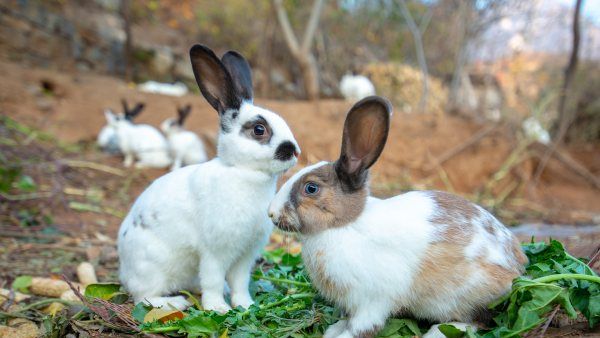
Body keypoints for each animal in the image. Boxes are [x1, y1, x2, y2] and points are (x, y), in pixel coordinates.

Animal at [118, 44, 300, 312]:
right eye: (259, 130)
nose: (295, 151)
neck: (243, 171)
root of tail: (124, 270)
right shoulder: (215, 251)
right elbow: (212, 280)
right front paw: (218, 308)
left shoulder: (246, 254)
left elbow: (239, 281)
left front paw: (245, 305)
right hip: (152, 267)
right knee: (144, 297)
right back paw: (176, 302)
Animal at [270, 95, 528, 338]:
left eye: (311, 188)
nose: (271, 213)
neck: (344, 225)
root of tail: (516, 266)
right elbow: (347, 321)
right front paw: (333, 330)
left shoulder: (372, 301)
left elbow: (361, 328)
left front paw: (340, 336)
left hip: (462, 295)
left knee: (480, 321)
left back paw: (437, 332)